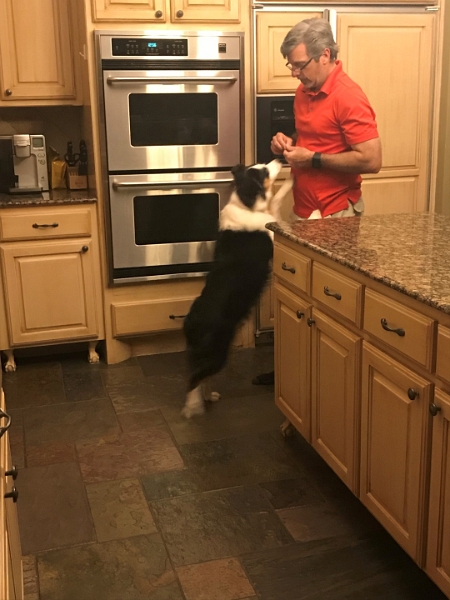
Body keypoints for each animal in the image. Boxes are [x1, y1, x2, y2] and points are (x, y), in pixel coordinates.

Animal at [181, 159, 287, 418]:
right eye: (264, 171)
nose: (280, 160)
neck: (245, 203)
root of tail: (189, 323)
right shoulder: (273, 242)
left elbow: (277, 202)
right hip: (216, 353)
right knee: (193, 379)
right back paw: (192, 408)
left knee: (201, 376)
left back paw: (208, 396)